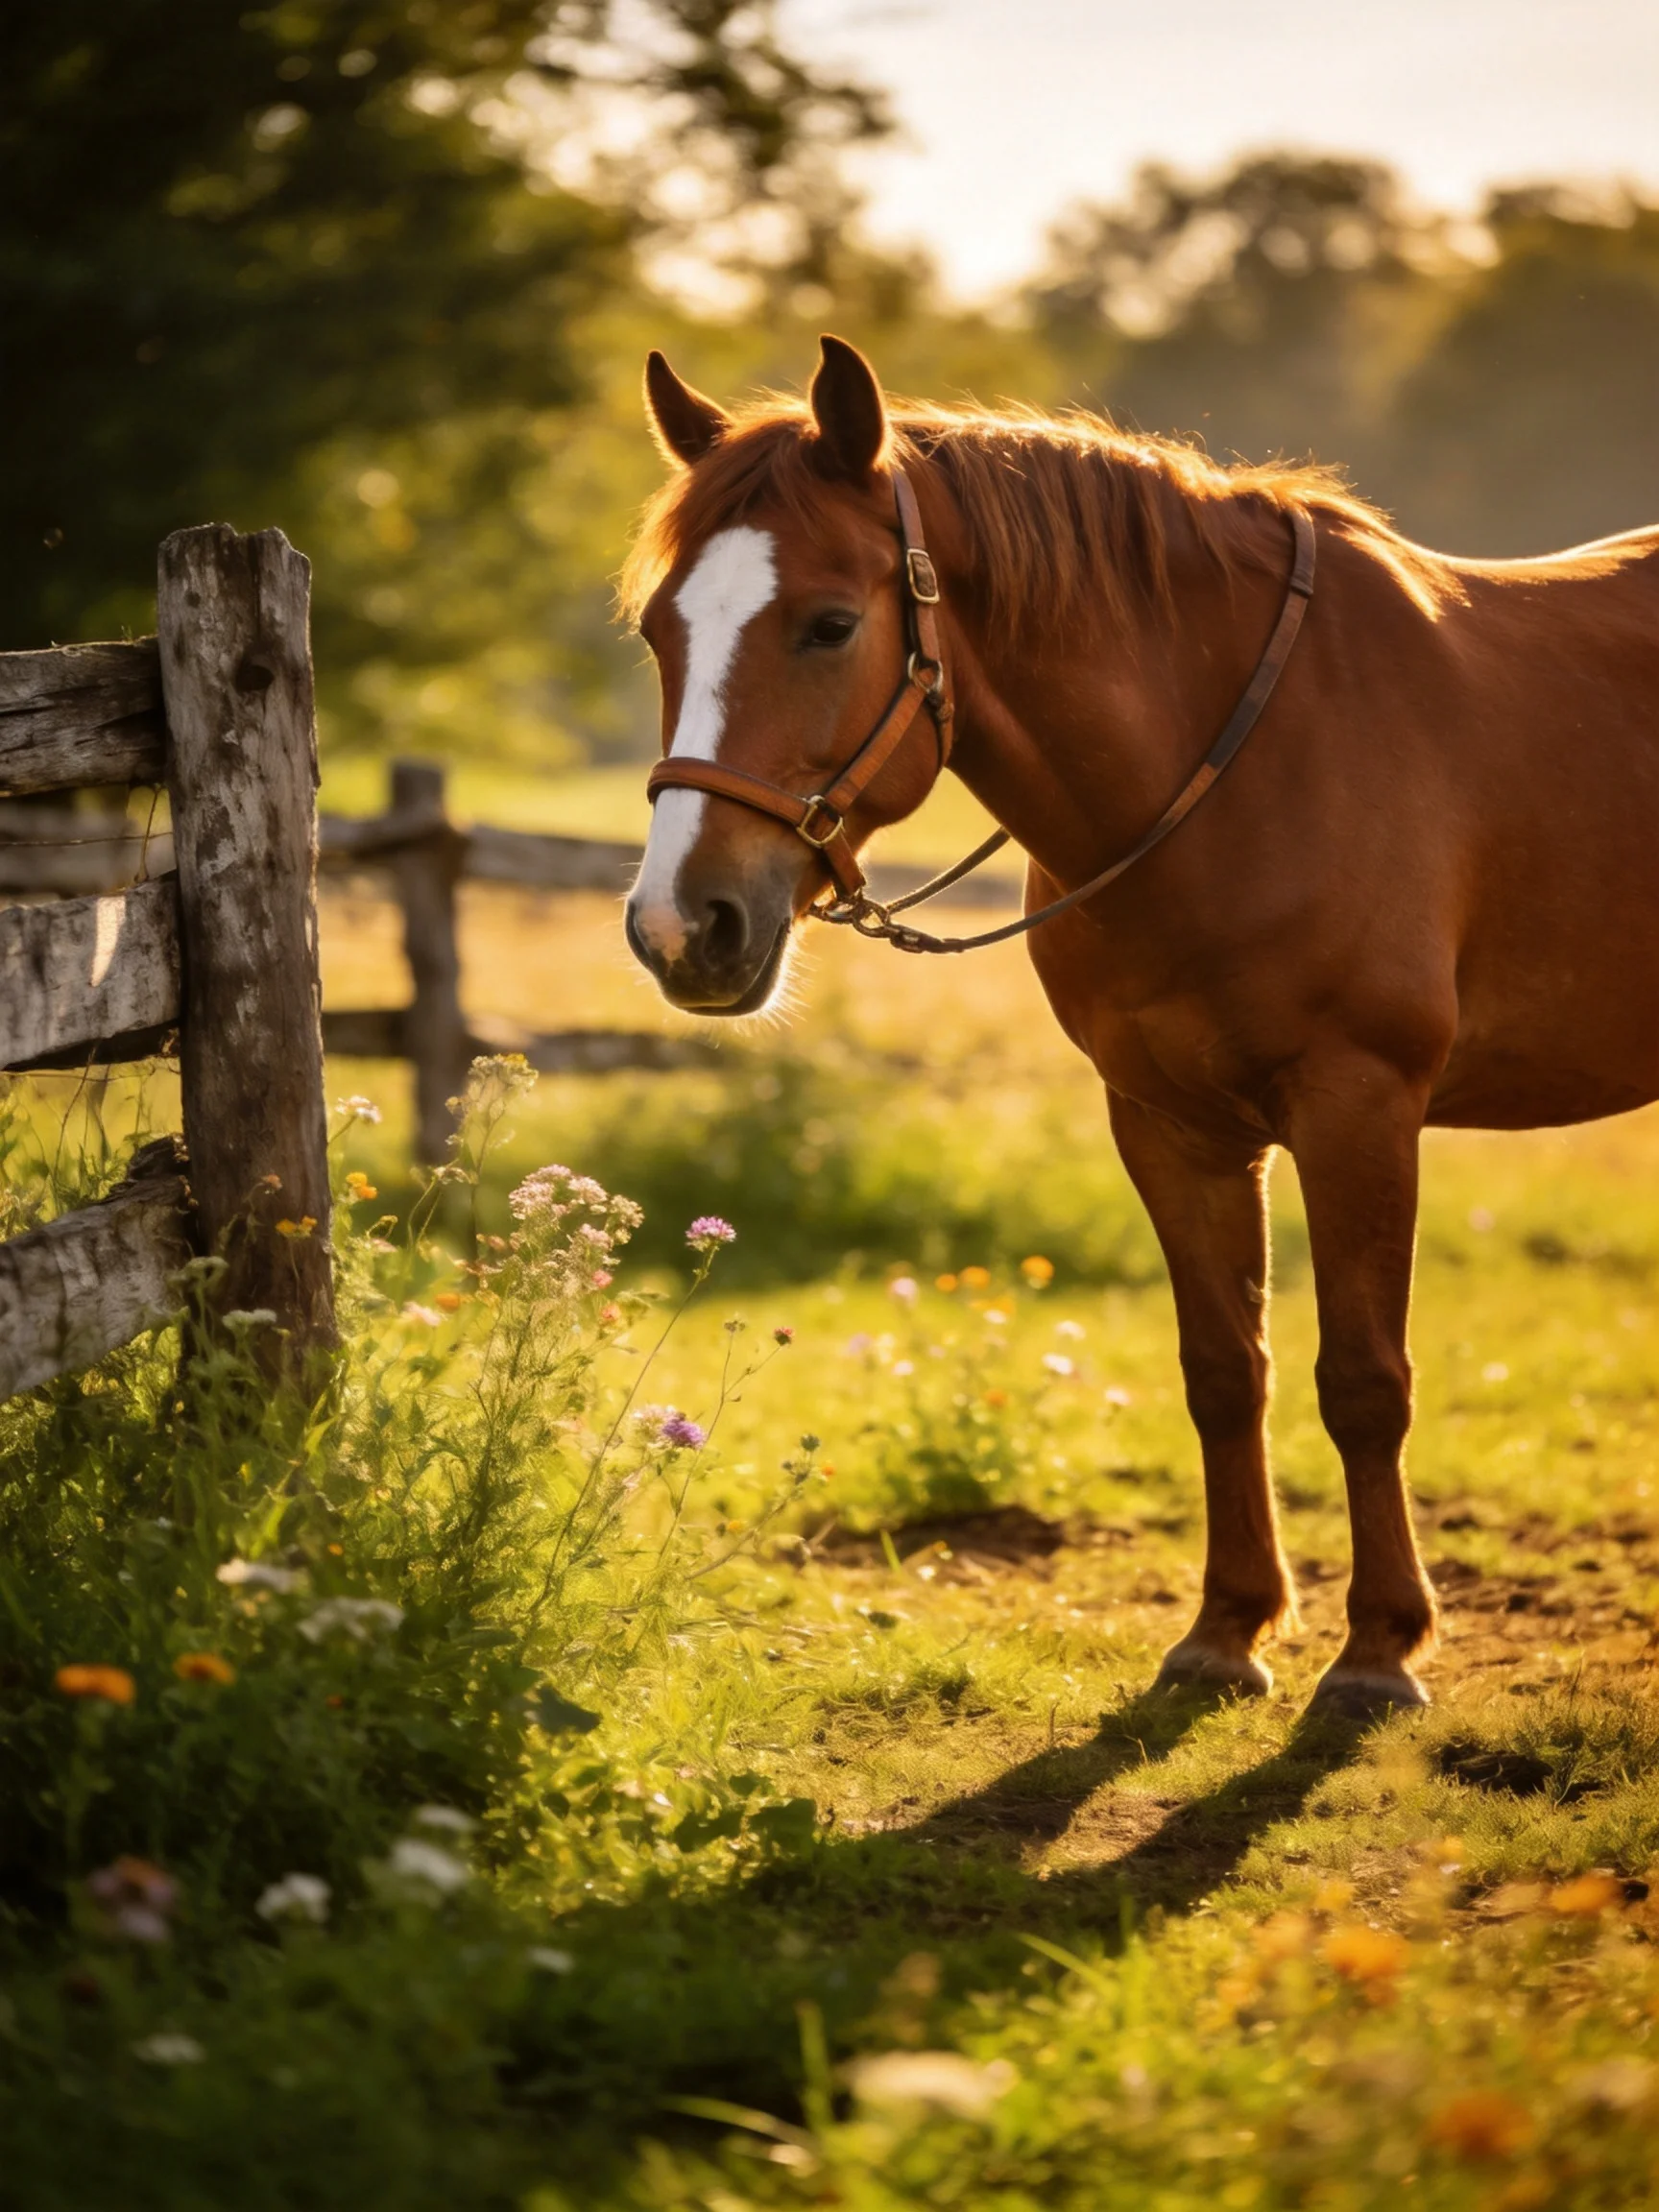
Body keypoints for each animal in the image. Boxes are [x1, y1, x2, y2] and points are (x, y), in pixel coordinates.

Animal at [620, 334, 1659, 1714]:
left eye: (830, 624)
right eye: (660, 630)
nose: (682, 926)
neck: (1241, 766)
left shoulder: (1361, 1108)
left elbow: (1363, 1381)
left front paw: (1379, 1650)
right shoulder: (1168, 1121)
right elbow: (1224, 1372)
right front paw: (1227, 1632)